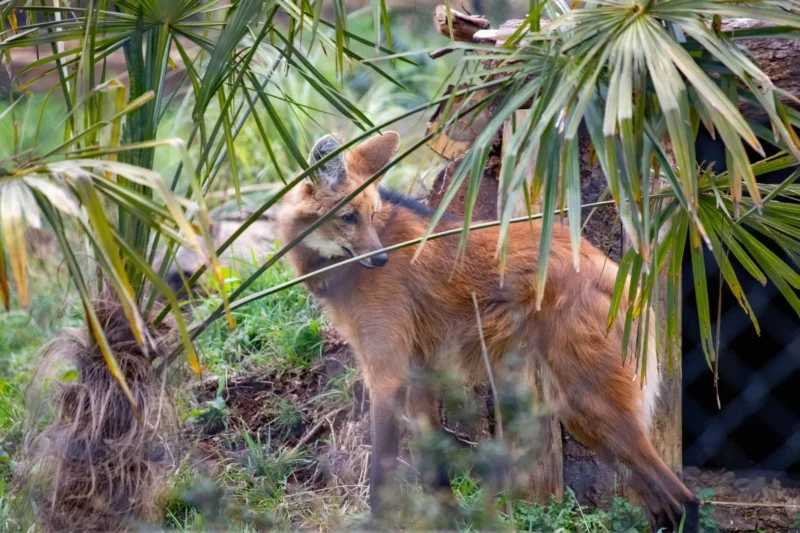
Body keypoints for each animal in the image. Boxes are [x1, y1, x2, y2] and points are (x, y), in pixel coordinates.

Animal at [278, 131, 696, 528]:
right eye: (349, 217)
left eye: (371, 214)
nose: (380, 259)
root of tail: (610, 267)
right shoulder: (418, 371)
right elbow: (434, 468)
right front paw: (449, 522)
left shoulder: (387, 373)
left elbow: (383, 471)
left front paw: (378, 524)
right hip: (582, 413)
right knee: (661, 501)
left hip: (590, 400)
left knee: (685, 500)